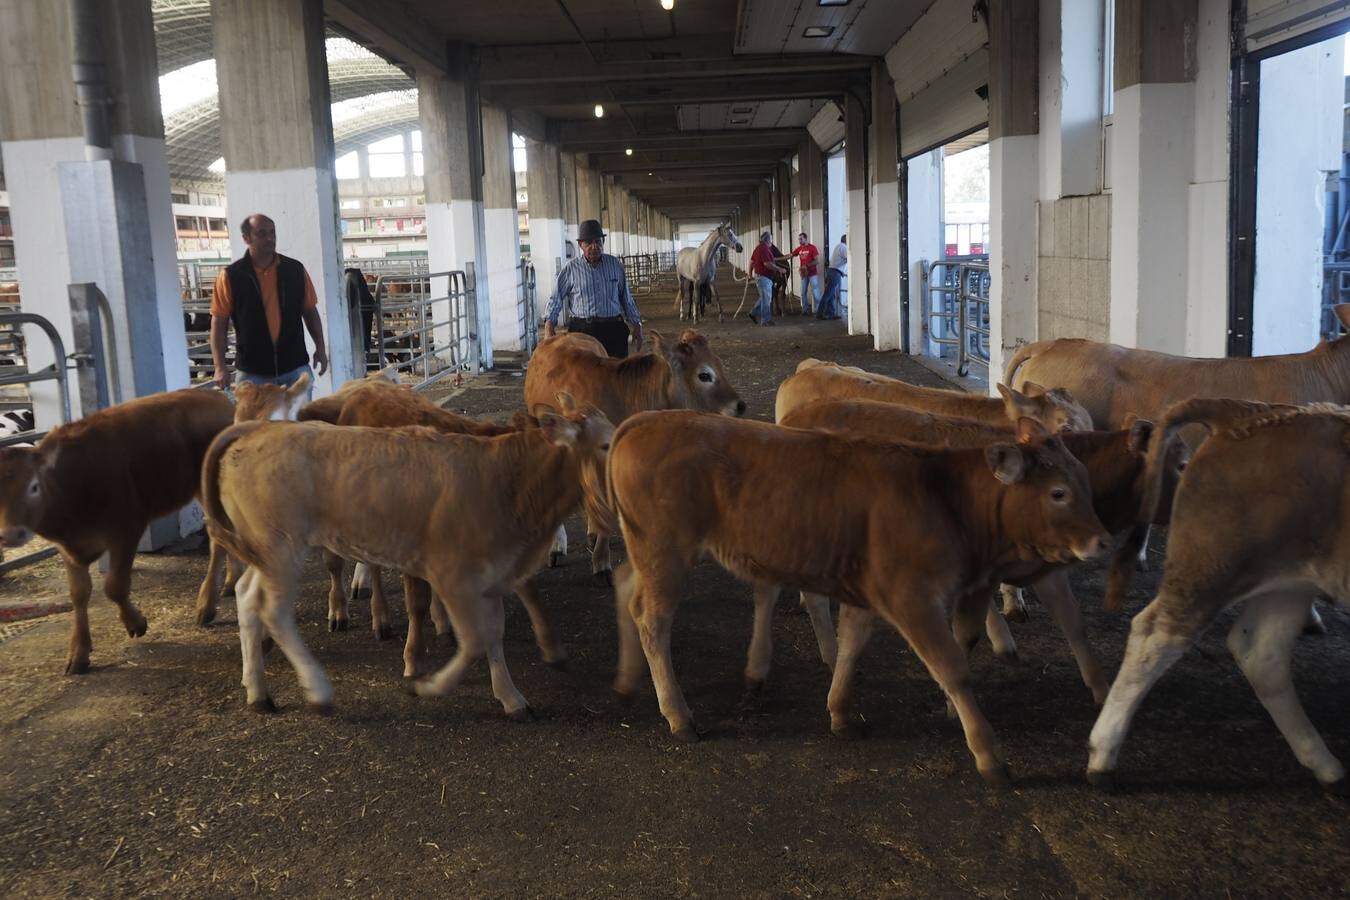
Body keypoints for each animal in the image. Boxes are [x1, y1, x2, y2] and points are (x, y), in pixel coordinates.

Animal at [0, 391, 233, 671]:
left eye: (34, 486)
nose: (10, 534)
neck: (68, 486)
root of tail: (213, 395)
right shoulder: (68, 547)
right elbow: (78, 594)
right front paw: (78, 652)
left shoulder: (126, 530)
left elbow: (114, 586)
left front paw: (136, 623)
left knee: (219, 536)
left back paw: (207, 604)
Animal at [199, 404, 612, 712]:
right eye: (607, 444)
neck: (505, 479)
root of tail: (258, 431)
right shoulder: (452, 576)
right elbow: (474, 640)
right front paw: (428, 685)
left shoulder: (492, 575)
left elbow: (494, 633)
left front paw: (510, 697)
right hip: (282, 547)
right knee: (273, 609)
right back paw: (317, 689)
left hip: (265, 550)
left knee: (247, 596)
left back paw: (257, 689)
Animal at [602, 412, 1107, 782]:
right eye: (1058, 493)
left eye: (1085, 479)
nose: (1102, 541)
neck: (945, 494)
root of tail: (643, 421)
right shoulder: (911, 597)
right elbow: (953, 670)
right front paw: (989, 755)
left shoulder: (871, 591)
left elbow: (852, 645)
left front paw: (840, 711)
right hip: (665, 551)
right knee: (652, 619)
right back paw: (679, 715)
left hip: (646, 550)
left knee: (625, 585)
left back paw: (626, 683)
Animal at [1085, 402, 1350, 788]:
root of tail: (1243, 413)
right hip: (1211, 569)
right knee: (1155, 636)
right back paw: (1102, 755)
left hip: (1290, 584)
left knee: (1261, 653)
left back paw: (1324, 763)